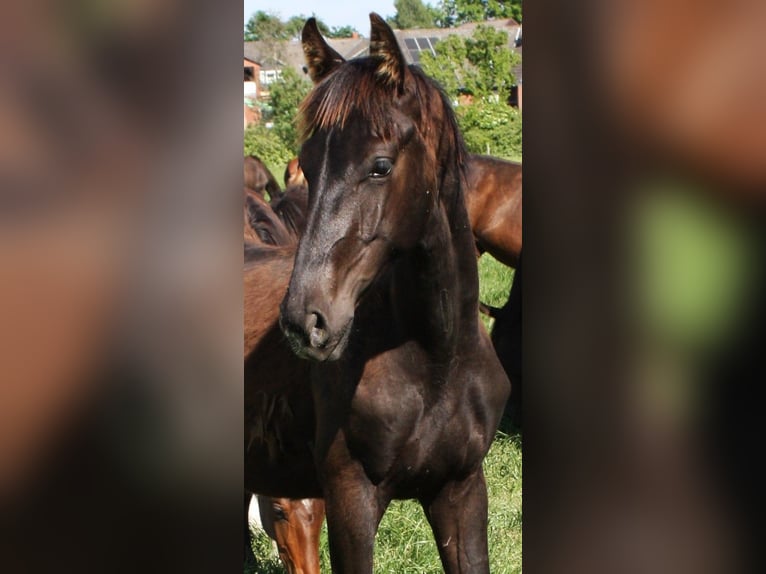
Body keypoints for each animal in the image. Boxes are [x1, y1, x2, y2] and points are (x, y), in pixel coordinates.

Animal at [270, 15, 510, 572]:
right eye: (307, 166)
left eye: (380, 165)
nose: (304, 322)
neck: (436, 361)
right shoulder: (350, 500)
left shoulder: (462, 492)